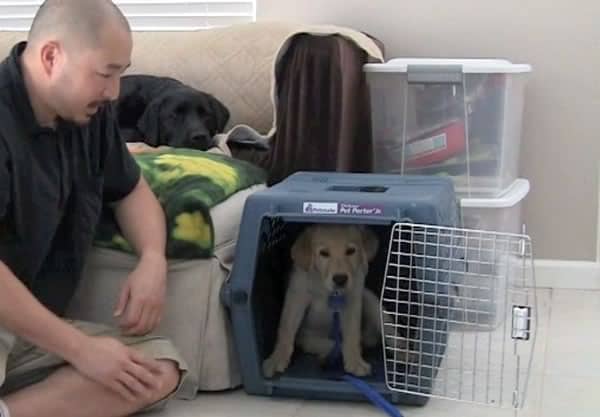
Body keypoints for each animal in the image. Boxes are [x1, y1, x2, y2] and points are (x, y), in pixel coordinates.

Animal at [262, 224, 390, 376]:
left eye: (351, 251)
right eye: (324, 253)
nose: (340, 279)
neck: (328, 291)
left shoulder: (353, 300)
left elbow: (352, 334)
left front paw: (355, 361)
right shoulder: (296, 296)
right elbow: (285, 329)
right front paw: (276, 358)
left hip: (373, 303)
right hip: (307, 337)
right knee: (324, 344)